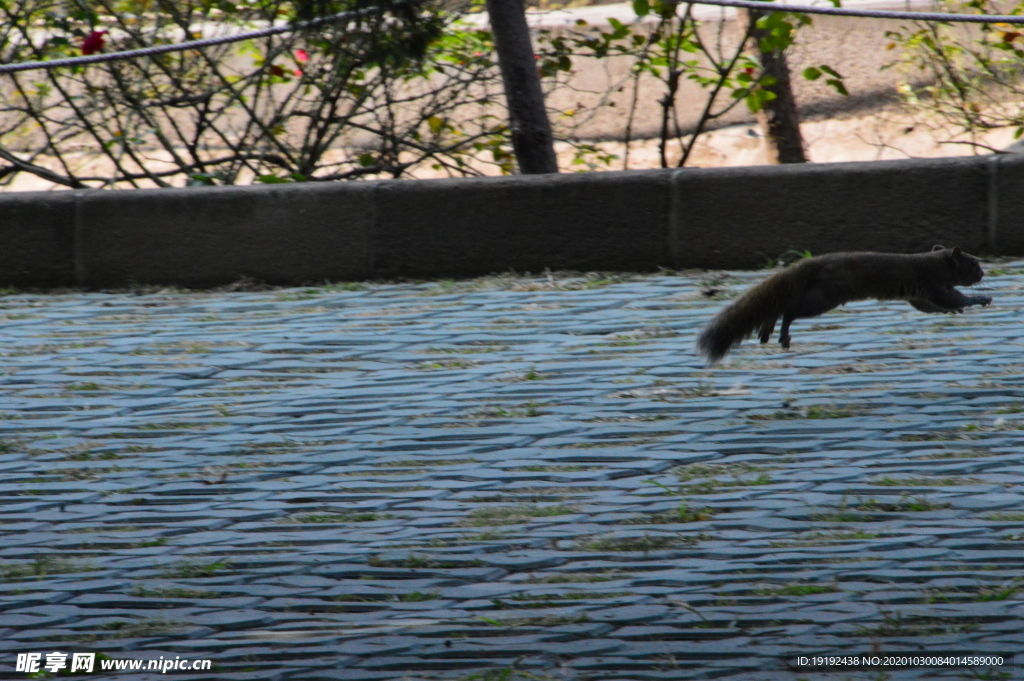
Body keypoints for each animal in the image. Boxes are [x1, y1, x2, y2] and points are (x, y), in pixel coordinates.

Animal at [696, 242, 991, 360]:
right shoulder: (932, 284)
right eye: (972, 263)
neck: (933, 262)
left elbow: (933, 307)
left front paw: (959, 310)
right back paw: (782, 334)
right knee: (789, 310)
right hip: (823, 298)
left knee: (778, 308)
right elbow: (950, 298)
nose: (983, 273)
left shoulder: (918, 295)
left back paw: (768, 330)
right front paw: (980, 298)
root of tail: (813, 263)